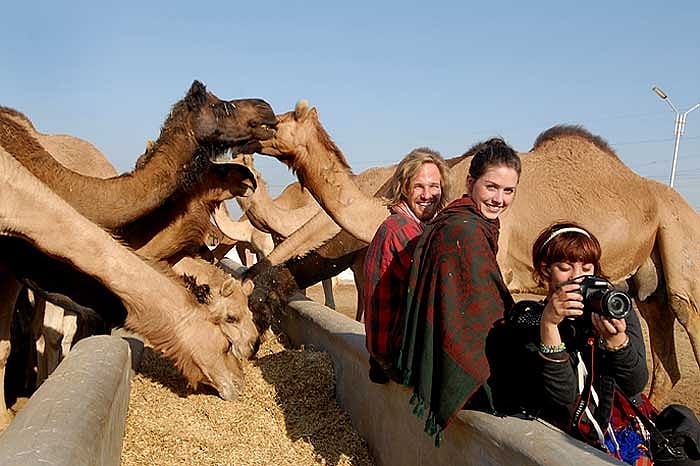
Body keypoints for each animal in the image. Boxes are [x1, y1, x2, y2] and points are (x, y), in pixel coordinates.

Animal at [255, 101, 700, 405]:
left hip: (681, 236)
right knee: (663, 346)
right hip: (646, 280)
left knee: (687, 310)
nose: (251, 127)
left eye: (276, 120)